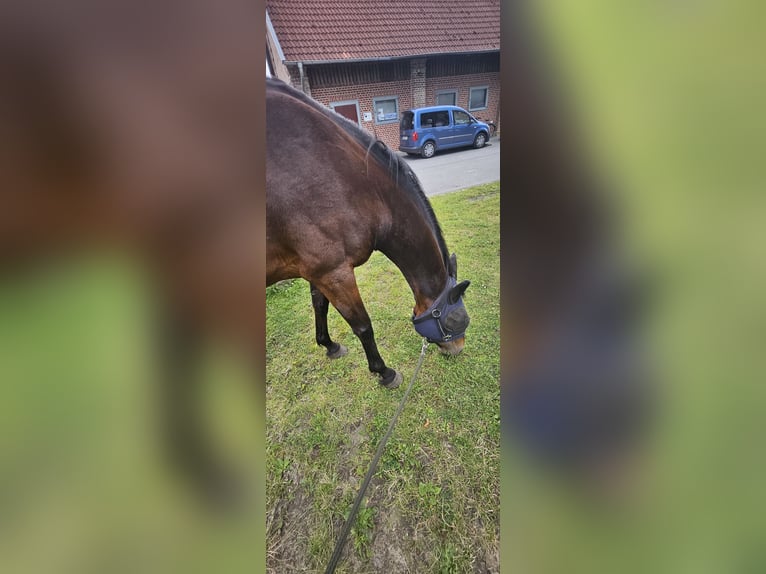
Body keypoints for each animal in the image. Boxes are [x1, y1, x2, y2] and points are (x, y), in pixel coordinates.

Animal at [266, 77, 471, 389]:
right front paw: (384, 372)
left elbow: (319, 305)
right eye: (455, 320)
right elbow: (362, 325)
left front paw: (329, 344)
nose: (457, 349)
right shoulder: (334, 272)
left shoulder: (316, 272)